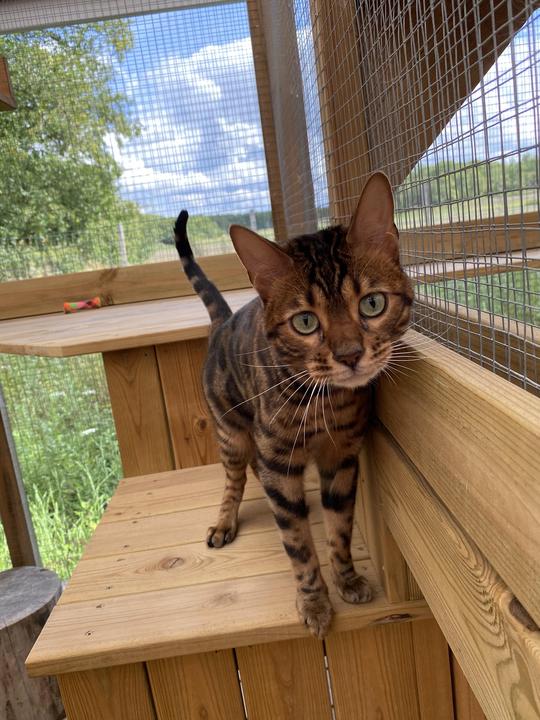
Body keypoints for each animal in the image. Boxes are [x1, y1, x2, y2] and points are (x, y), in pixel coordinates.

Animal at [175, 172, 413, 637]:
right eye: (305, 322)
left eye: (372, 303)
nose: (349, 355)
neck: (325, 405)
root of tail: (222, 322)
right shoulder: (279, 465)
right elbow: (299, 545)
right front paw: (314, 602)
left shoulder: (341, 459)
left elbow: (339, 529)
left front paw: (347, 579)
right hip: (231, 432)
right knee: (234, 479)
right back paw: (224, 522)